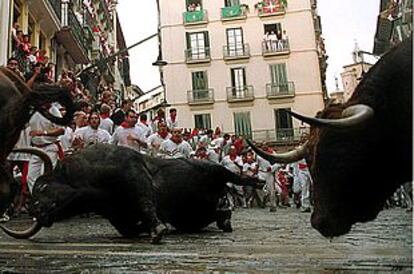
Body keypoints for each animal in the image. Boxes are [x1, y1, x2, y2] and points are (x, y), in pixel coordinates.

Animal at [0, 144, 262, 243]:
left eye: (43, 187)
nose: (36, 211)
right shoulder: (118, 217)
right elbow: (132, 226)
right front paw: (151, 229)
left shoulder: (135, 174)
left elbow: (146, 203)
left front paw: (157, 231)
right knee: (222, 210)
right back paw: (224, 213)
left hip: (214, 169)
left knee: (235, 177)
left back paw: (257, 182)